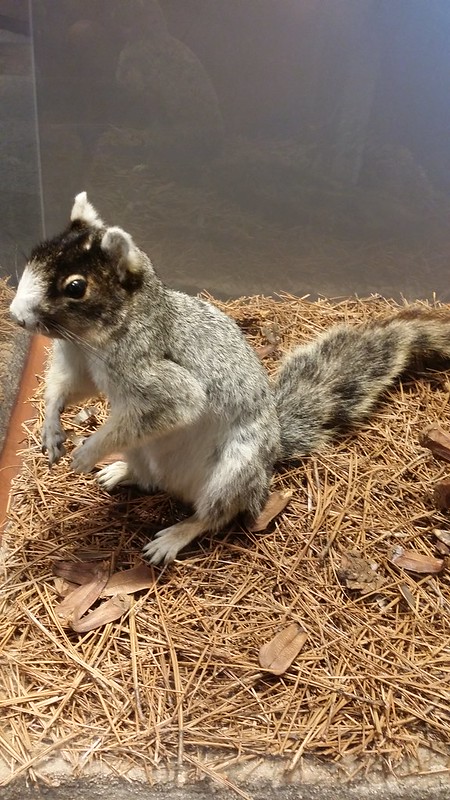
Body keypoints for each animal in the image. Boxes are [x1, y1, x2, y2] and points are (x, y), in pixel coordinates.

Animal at [7, 192, 450, 564]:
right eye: (36, 254)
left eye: (75, 287)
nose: (15, 316)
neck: (91, 340)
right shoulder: (80, 363)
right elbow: (66, 389)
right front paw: (51, 429)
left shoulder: (162, 380)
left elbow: (168, 408)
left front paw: (87, 451)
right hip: (145, 454)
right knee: (149, 480)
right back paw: (121, 472)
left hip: (233, 472)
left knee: (214, 515)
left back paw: (174, 536)